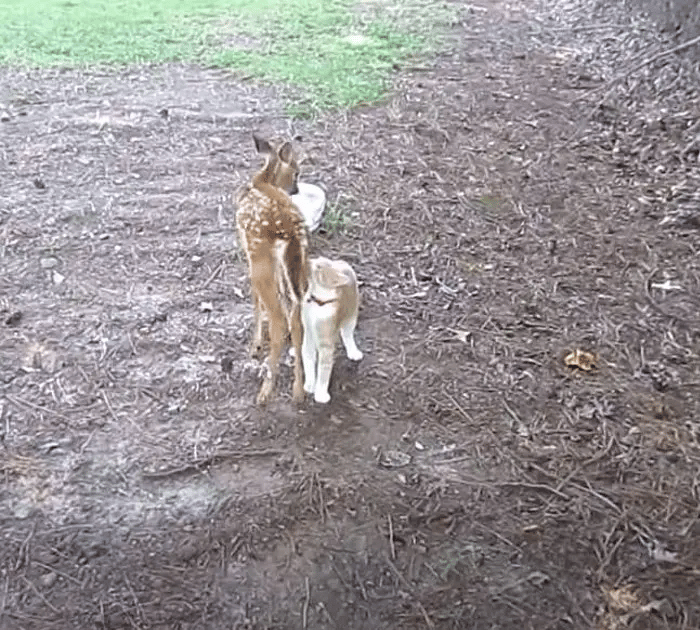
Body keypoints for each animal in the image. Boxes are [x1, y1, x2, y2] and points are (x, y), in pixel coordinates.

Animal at [300, 256, 360, 404]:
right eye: (316, 260)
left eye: (318, 266)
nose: (307, 260)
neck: (318, 304)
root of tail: (342, 263)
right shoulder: (308, 336)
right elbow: (308, 359)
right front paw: (310, 383)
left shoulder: (326, 346)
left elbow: (323, 371)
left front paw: (320, 394)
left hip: (351, 317)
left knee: (347, 335)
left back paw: (353, 352)